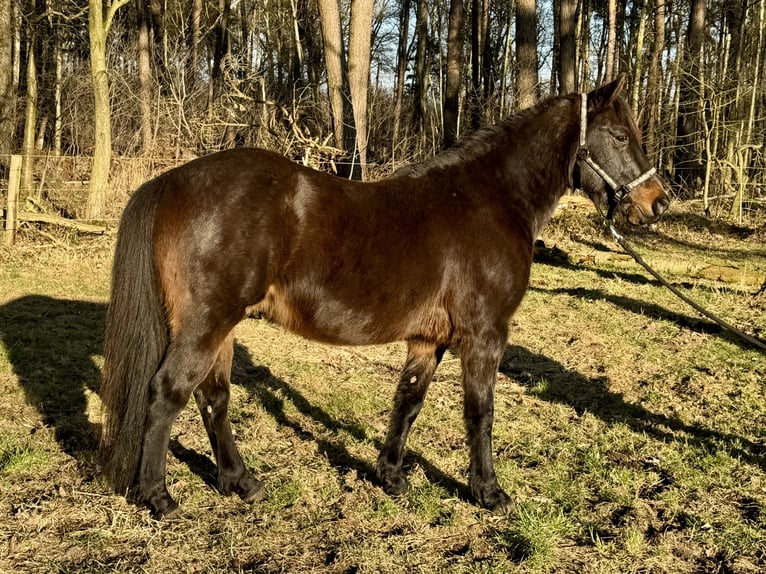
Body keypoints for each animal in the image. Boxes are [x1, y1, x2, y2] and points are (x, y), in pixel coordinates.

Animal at [99, 75, 669, 518]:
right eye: (619, 135)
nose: (657, 203)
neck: (490, 200)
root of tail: (171, 183)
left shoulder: (429, 339)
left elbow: (409, 401)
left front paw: (391, 476)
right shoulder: (485, 335)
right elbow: (480, 412)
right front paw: (488, 492)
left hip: (222, 327)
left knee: (213, 396)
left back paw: (242, 482)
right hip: (206, 324)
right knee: (167, 392)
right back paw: (158, 496)